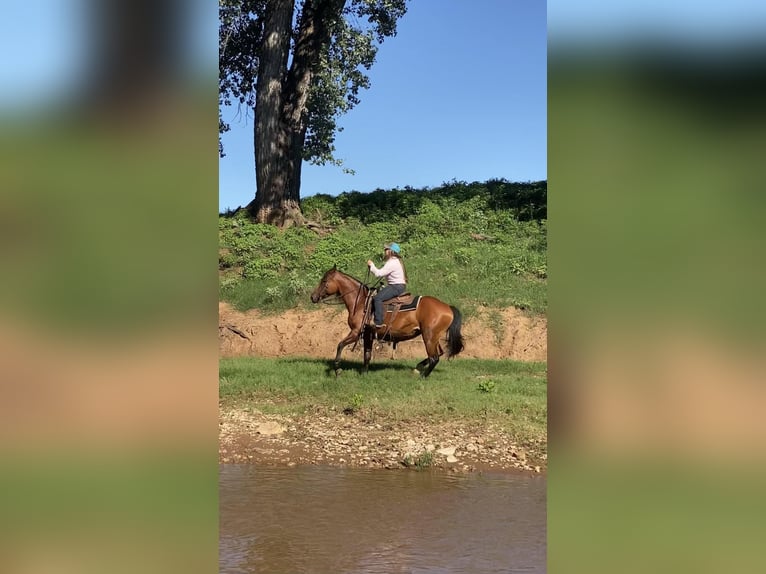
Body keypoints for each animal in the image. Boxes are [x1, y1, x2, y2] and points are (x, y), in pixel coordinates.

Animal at [308, 268, 464, 380]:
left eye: (324, 281)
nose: (313, 297)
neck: (360, 303)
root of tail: (447, 307)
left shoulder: (355, 332)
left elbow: (340, 345)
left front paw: (337, 370)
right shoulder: (368, 334)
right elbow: (367, 354)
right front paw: (364, 373)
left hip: (429, 336)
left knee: (434, 357)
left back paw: (422, 376)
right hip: (433, 337)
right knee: (439, 354)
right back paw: (418, 368)